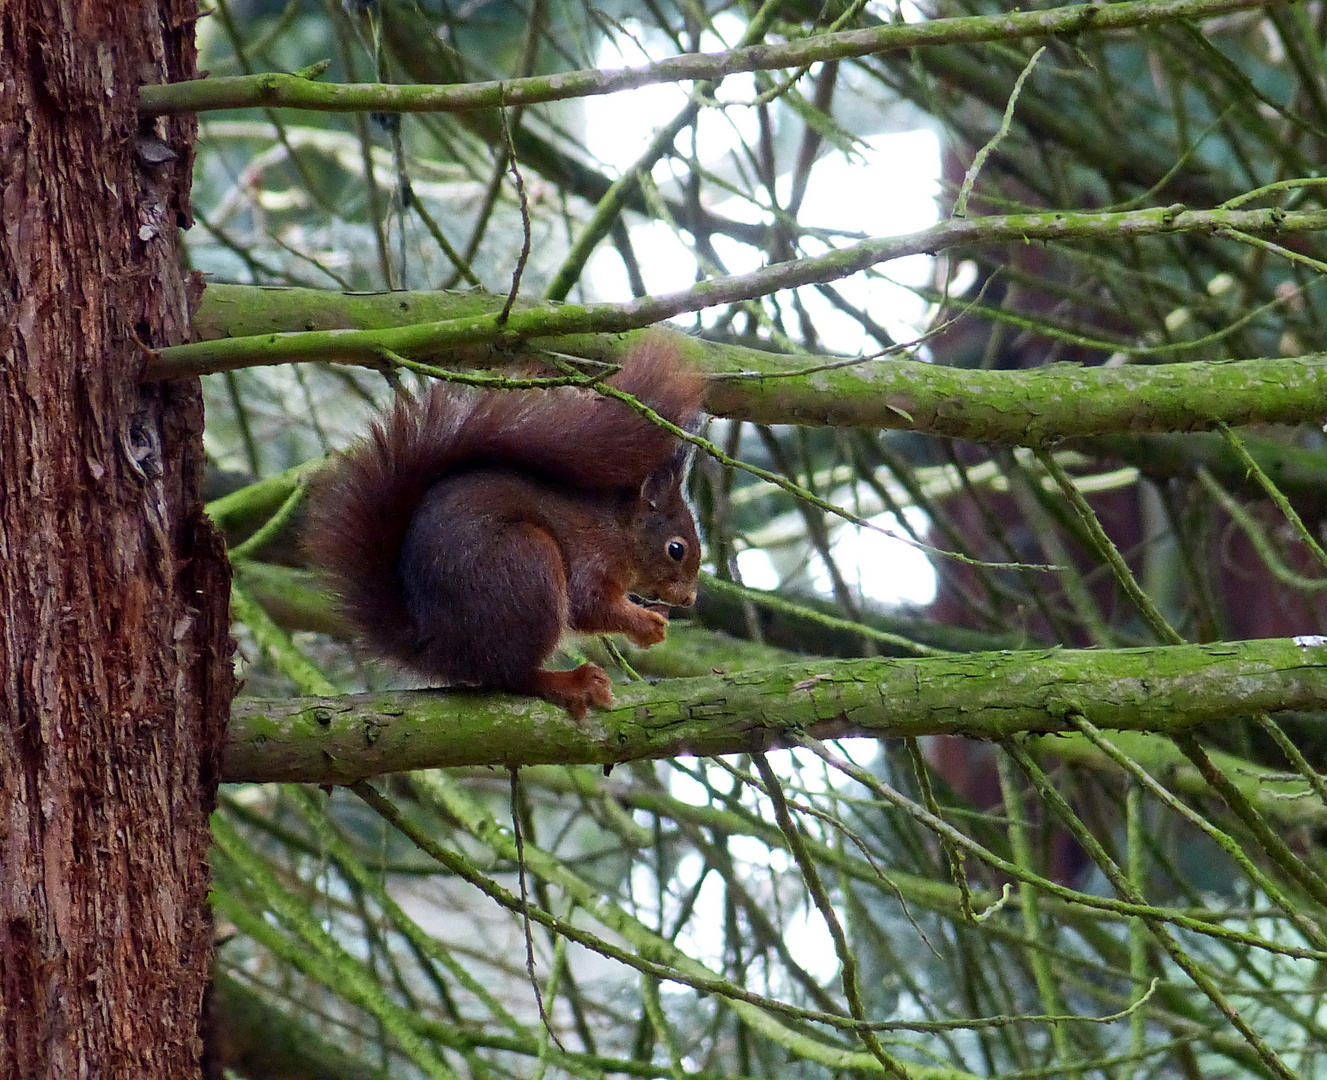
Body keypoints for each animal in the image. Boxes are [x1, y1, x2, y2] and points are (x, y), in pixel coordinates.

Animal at [305, 334, 711, 716]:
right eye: (676, 549)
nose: (689, 599)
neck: (618, 530)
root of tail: (436, 644)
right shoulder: (592, 555)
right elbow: (589, 605)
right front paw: (647, 623)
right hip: (526, 566)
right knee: (511, 674)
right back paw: (569, 682)